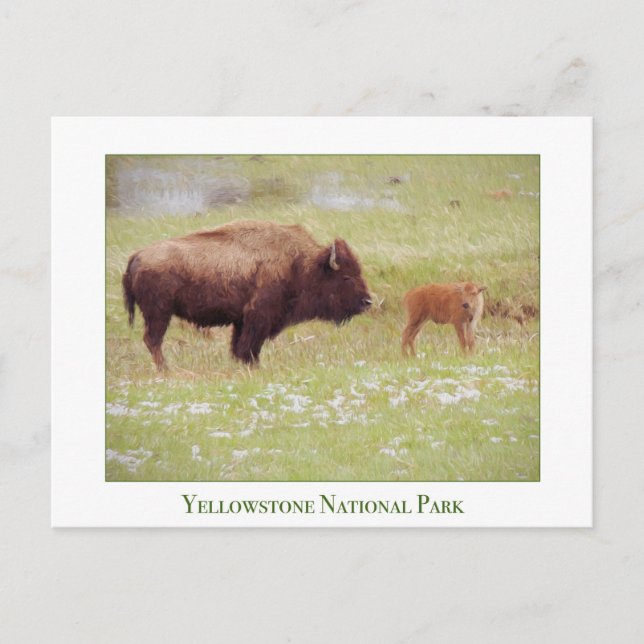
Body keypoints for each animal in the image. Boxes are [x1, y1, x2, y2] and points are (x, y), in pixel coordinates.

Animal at [122, 220, 372, 369]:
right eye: (346, 277)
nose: (367, 301)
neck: (301, 264)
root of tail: (137, 255)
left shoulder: (241, 320)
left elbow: (238, 346)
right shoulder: (258, 316)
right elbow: (249, 347)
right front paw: (253, 367)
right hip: (159, 313)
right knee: (153, 340)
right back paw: (165, 369)